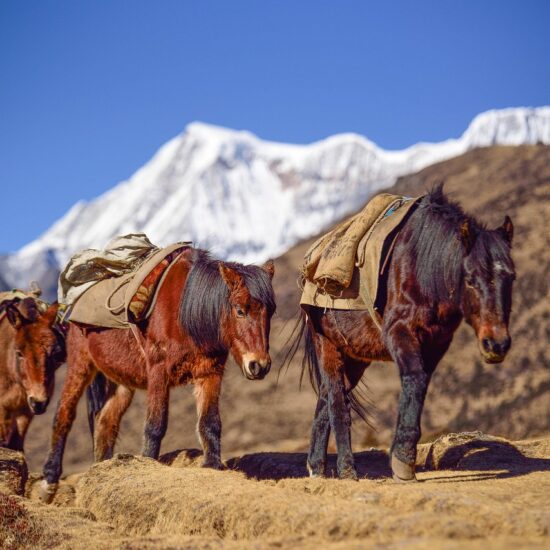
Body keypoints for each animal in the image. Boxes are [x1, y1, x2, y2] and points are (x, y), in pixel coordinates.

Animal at [40, 248, 276, 502]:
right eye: (240, 310)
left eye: (270, 312)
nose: (259, 365)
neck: (186, 312)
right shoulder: (158, 373)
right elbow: (155, 425)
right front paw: (148, 463)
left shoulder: (210, 373)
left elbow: (210, 422)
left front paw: (212, 466)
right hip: (80, 365)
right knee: (63, 415)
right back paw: (49, 482)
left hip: (121, 382)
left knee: (105, 422)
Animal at [292, 187, 516, 484]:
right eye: (470, 278)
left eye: (511, 278)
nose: (496, 344)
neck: (424, 267)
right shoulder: (399, 332)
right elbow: (414, 378)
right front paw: (402, 463)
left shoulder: (436, 344)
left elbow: (419, 386)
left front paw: (402, 457)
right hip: (327, 345)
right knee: (338, 402)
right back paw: (347, 470)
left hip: (355, 358)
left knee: (326, 397)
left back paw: (317, 468)